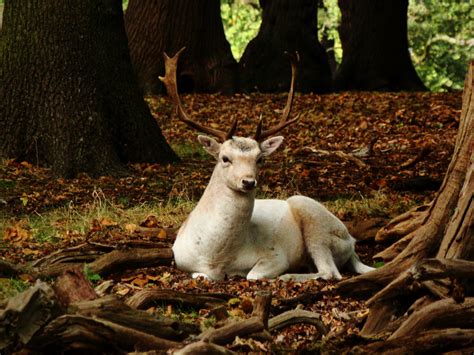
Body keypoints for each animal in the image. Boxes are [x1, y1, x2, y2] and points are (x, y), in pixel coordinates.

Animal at [159, 48, 374, 282]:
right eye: (225, 158)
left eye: (260, 158)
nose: (248, 181)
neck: (215, 257)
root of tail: (351, 241)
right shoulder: (179, 257)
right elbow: (199, 275)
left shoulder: (276, 255)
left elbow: (252, 275)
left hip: (317, 222)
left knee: (330, 272)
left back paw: (287, 277)